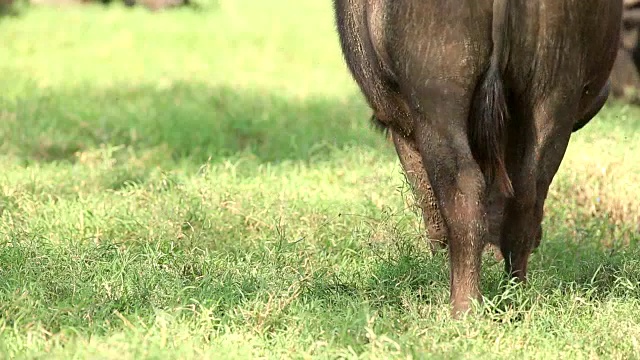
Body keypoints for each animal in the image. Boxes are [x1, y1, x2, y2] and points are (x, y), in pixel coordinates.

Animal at [332, 0, 624, 316]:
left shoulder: (401, 126)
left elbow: (424, 189)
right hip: (553, 92)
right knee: (527, 195)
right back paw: (514, 295)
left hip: (438, 98)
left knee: (463, 188)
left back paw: (464, 307)